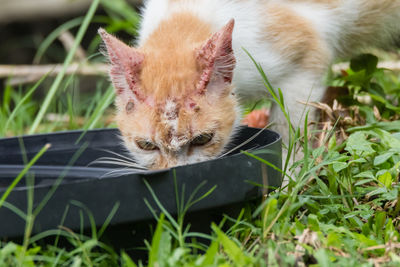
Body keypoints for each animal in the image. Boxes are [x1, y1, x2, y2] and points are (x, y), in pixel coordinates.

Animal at [97, 0, 400, 170]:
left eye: (202, 139)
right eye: (146, 145)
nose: (175, 172)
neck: (183, 15)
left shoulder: (306, 58)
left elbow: (290, 131)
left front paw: (287, 184)